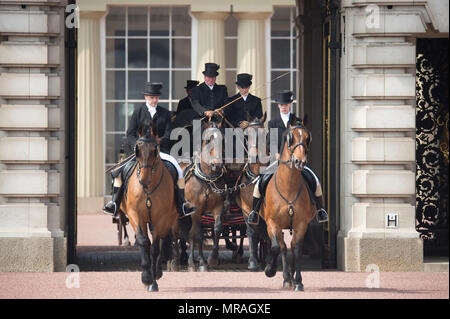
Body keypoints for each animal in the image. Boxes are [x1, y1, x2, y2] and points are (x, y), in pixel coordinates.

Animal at [122, 120, 180, 292]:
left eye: (155, 150)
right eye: (137, 150)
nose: (144, 181)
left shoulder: (161, 217)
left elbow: (155, 247)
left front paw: (152, 280)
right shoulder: (134, 214)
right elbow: (143, 241)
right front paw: (146, 277)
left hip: (167, 219)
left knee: (162, 240)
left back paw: (158, 272)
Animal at [183, 118, 229, 272]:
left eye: (223, 139)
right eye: (208, 140)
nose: (217, 165)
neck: (207, 179)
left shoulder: (218, 207)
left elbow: (217, 228)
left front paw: (212, 258)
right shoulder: (195, 210)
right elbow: (197, 234)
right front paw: (197, 262)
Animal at [260, 116, 316, 292]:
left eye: (307, 138)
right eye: (291, 138)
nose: (299, 161)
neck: (288, 186)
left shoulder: (301, 224)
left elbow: (296, 250)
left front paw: (298, 282)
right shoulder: (272, 223)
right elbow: (276, 247)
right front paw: (269, 270)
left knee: (291, 246)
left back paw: (290, 278)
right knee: (283, 247)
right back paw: (285, 278)